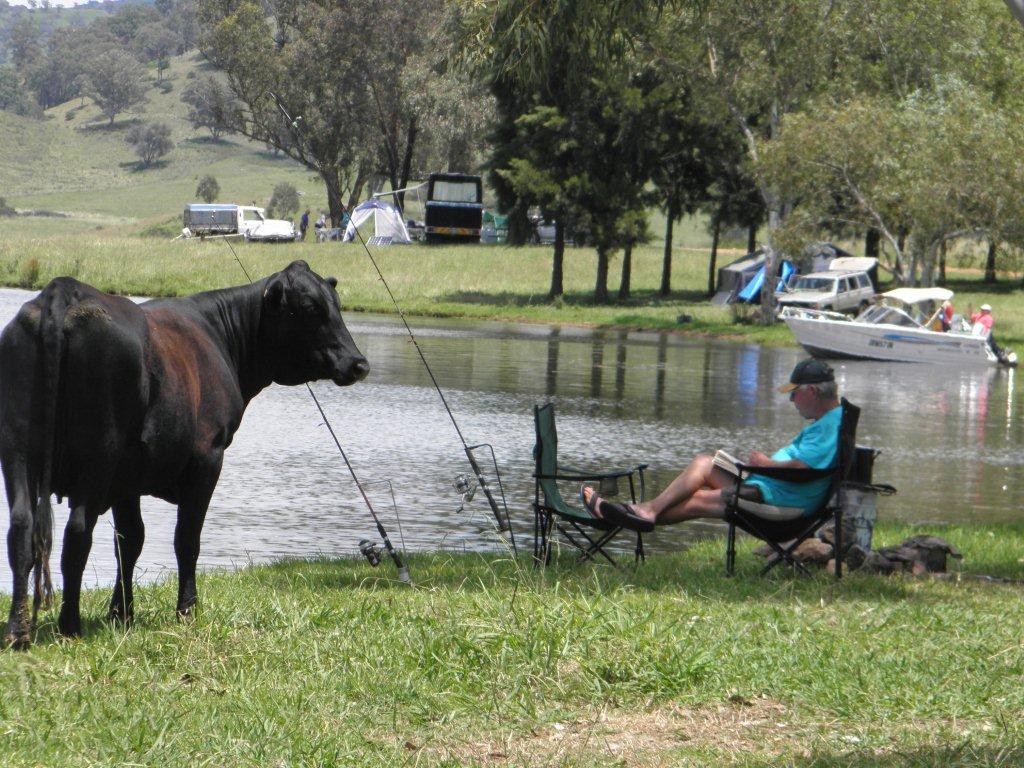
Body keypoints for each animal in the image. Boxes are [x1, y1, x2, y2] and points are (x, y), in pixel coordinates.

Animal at [1, 260, 369, 647]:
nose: (359, 363)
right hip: (98, 453)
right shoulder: (207, 458)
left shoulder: (128, 478)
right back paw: (69, 625)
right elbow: (187, 539)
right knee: (77, 533)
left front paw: (121, 614)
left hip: (17, 449)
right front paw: (186, 611)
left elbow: (130, 540)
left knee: (21, 528)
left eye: (337, 304)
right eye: (311, 307)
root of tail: (63, 290)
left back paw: (17, 630)